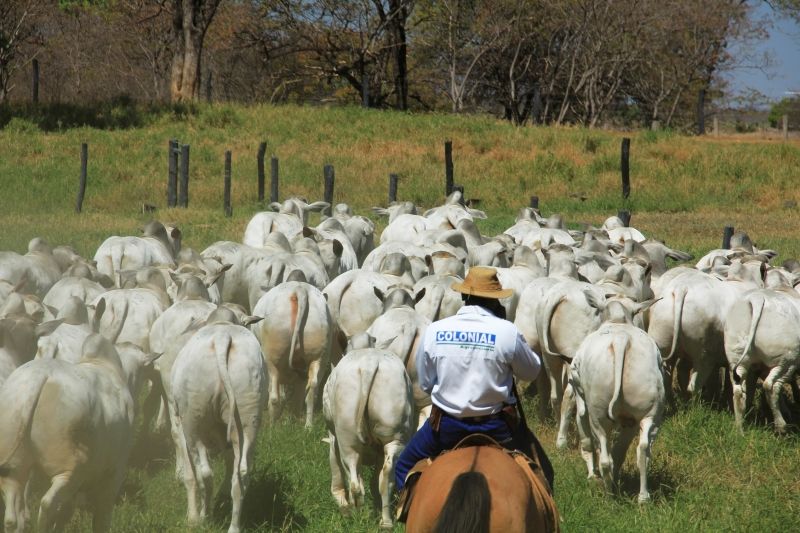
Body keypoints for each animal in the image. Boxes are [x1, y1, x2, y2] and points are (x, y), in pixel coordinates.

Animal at [322, 348, 416, 524]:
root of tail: (369, 363)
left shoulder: (332, 435)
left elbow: (334, 464)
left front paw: (339, 498)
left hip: (346, 437)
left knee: (354, 480)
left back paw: (355, 513)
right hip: (395, 433)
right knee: (386, 475)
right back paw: (386, 522)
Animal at [568, 300, 668, 502]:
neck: (618, 321)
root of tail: (621, 340)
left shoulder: (578, 389)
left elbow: (586, 435)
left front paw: (593, 476)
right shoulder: (630, 421)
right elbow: (620, 451)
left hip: (598, 413)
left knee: (605, 456)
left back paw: (609, 495)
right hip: (650, 410)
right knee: (643, 449)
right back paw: (643, 497)